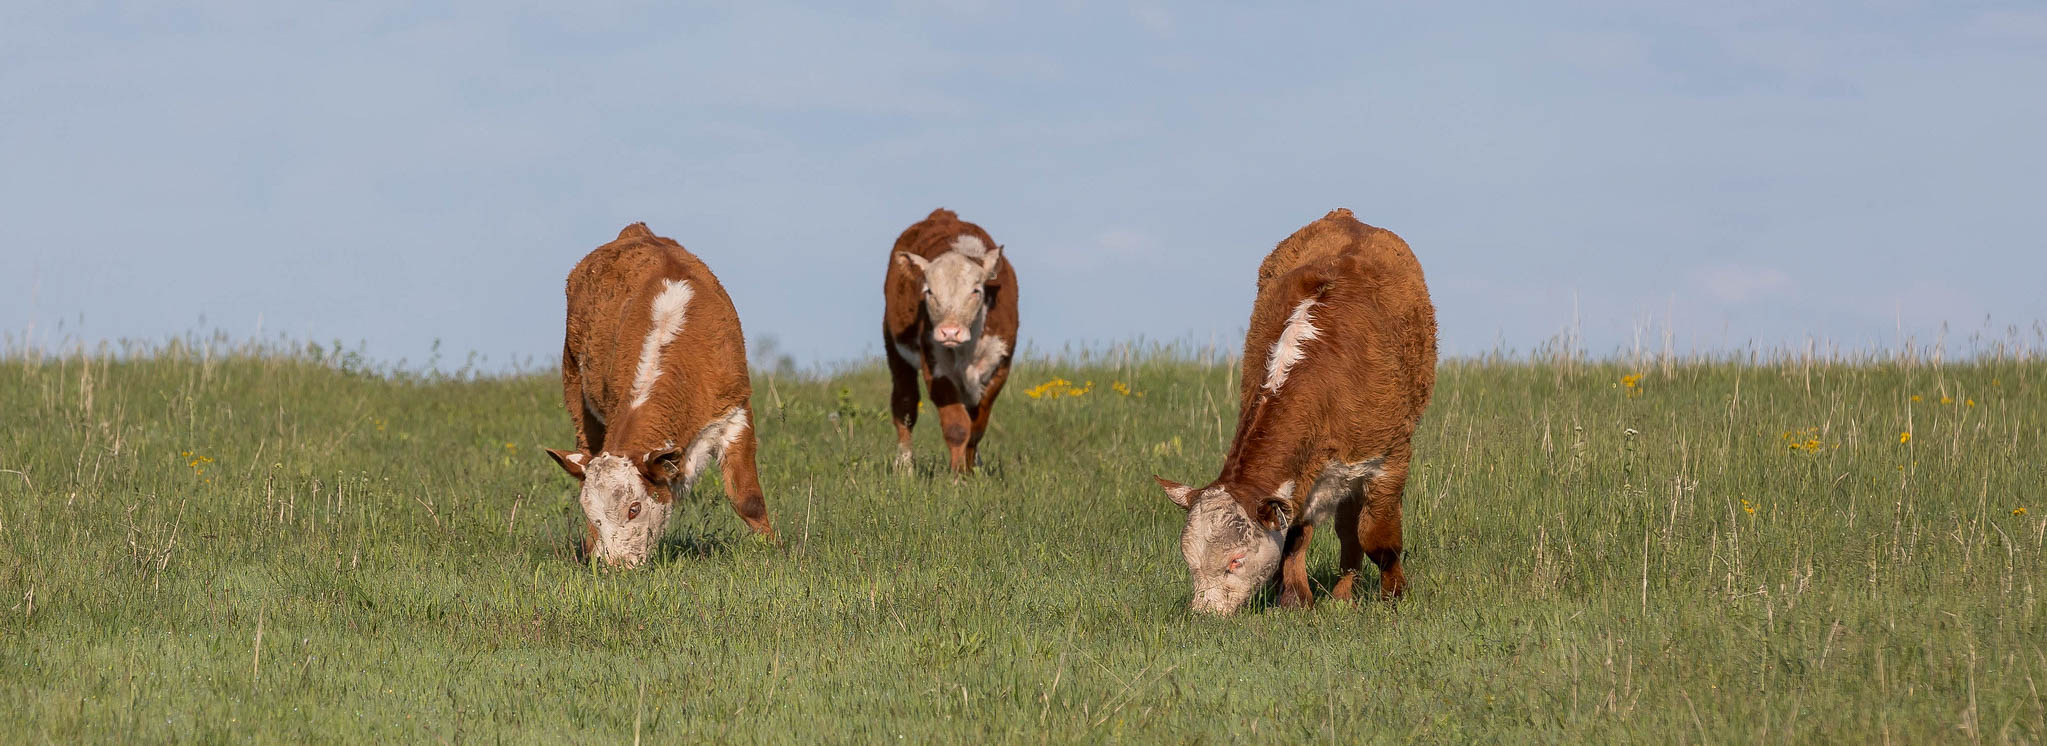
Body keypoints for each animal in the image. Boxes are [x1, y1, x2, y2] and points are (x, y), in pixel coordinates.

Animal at [544, 223, 774, 567]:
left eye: (634, 508)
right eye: (589, 511)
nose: (616, 567)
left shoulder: (735, 411)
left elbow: (748, 499)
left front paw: (774, 549)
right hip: (574, 386)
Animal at [882, 208, 1020, 474]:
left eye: (976, 290)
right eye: (929, 291)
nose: (949, 332)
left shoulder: (1000, 366)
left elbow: (976, 428)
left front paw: (971, 470)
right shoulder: (936, 369)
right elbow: (957, 427)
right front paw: (958, 477)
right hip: (894, 349)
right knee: (905, 406)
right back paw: (905, 468)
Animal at [1154, 208, 1437, 615]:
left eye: (1236, 560)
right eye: (1190, 561)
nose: (1205, 615)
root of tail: (1347, 217)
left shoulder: (1389, 457)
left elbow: (1378, 538)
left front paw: (1394, 595)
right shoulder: (1299, 478)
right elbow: (1296, 537)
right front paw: (1294, 599)